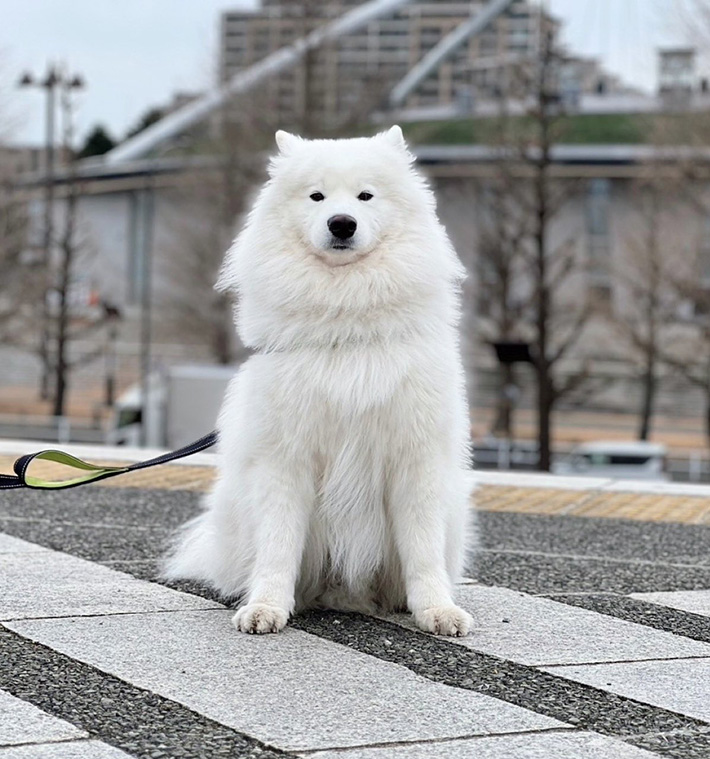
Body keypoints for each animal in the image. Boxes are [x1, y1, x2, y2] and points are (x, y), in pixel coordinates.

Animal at [164, 127, 476, 640]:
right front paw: (266, 607)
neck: (344, 326)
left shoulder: (416, 457)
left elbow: (423, 550)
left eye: (366, 195)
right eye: (317, 196)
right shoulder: (285, 458)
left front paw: (437, 610)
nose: (342, 223)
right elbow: (277, 546)